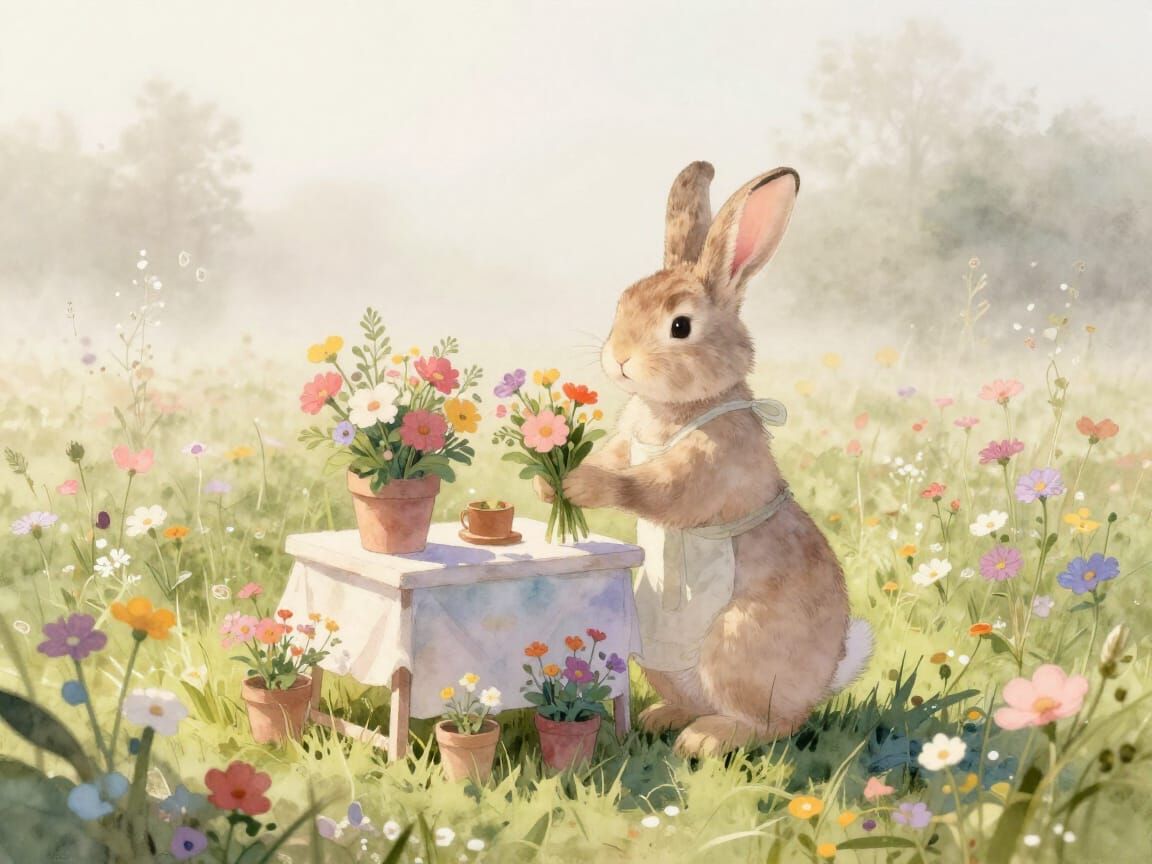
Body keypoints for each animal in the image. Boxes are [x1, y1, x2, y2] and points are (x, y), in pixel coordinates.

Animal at [540, 161, 873, 757]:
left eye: (680, 327)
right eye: (622, 304)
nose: (619, 359)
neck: (678, 407)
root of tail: (825, 680)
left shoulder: (713, 461)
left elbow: (656, 489)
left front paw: (580, 486)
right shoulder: (628, 440)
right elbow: (618, 458)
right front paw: (549, 484)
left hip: (736, 644)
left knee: (771, 723)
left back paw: (706, 741)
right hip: (654, 652)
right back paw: (663, 719)